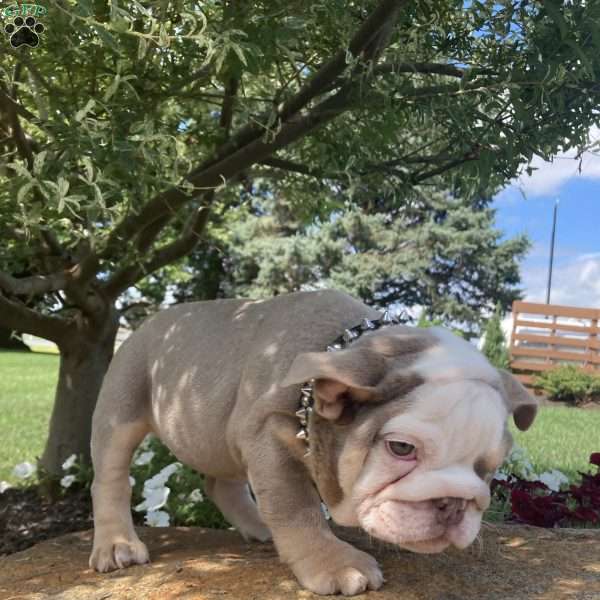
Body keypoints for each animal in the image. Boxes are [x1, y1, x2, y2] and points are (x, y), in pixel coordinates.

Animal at [90, 290, 540, 596]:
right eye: (400, 449)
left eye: (490, 467)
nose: (453, 504)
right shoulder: (268, 435)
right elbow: (297, 508)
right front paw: (335, 563)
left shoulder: (254, 434)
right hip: (122, 404)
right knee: (110, 477)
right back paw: (117, 546)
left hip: (221, 433)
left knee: (222, 483)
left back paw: (259, 526)